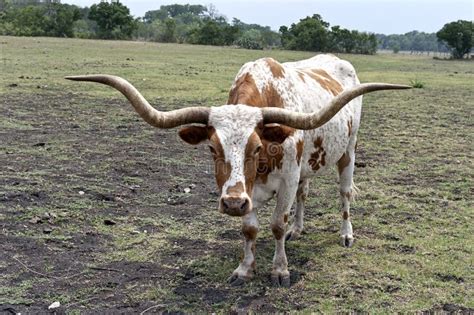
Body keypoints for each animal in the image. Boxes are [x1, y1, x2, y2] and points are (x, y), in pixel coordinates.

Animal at [66, 53, 412, 286]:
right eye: (211, 148)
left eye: (257, 147)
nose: (232, 203)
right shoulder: (250, 190)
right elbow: (250, 229)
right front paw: (246, 269)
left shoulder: (286, 179)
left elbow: (276, 225)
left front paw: (280, 269)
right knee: (305, 192)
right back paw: (299, 228)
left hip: (348, 151)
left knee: (344, 194)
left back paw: (345, 234)